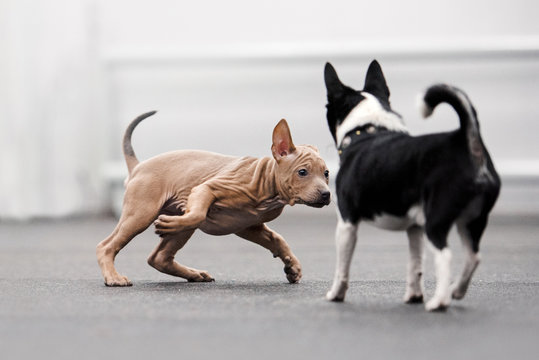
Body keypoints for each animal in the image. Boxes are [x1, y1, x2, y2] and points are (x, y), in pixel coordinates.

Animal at [98, 112, 332, 286]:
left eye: (327, 173)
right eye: (302, 172)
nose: (326, 194)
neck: (267, 183)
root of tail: (139, 166)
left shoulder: (247, 226)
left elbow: (277, 239)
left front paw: (292, 266)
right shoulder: (207, 188)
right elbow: (199, 213)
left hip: (175, 223)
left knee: (159, 258)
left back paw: (193, 273)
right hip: (140, 214)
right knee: (106, 246)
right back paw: (114, 277)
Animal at [322, 60, 500, 310]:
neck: (367, 129)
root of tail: (465, 141)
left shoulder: (347, 223)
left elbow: (342, 268)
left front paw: (336, 294)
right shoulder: (415, 228)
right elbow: (415, 264)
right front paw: (414, 296)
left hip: (437, 220)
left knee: (445, 255)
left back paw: (439, 302)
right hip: (472, 220)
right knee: (473, 256)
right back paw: (455, 291)